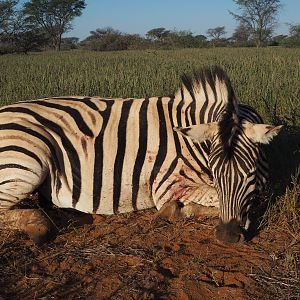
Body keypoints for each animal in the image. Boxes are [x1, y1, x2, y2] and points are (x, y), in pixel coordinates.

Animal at [0, 66, 282, 244]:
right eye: (215, 171)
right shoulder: (168, 185)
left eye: (250, 173)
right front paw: (175, 211)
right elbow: (205, 199)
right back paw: (38, 225)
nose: (227, 236)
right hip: (28, 158)